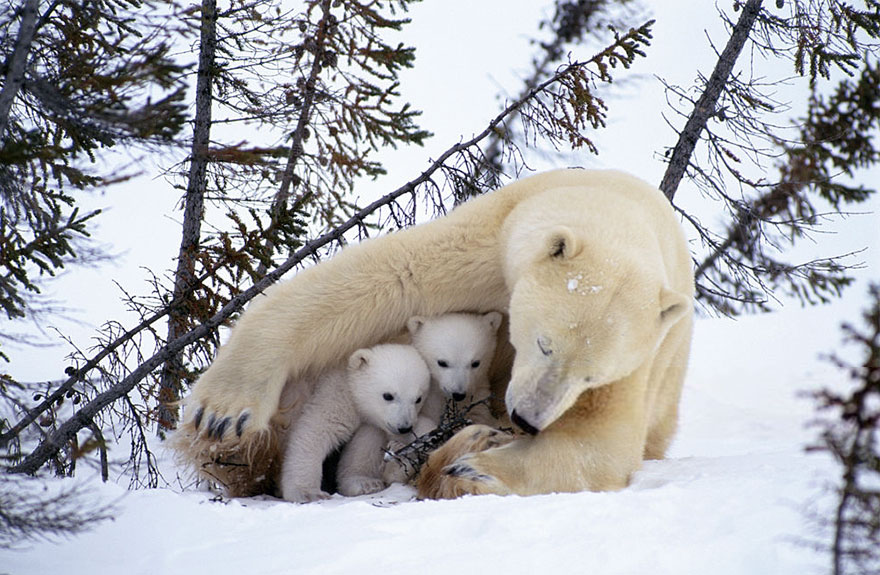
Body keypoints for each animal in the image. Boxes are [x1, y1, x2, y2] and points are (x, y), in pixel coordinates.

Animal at [280, 343, 430, 503]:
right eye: (388, 396)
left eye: (418, 399)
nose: (404, 427)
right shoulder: (334, 395)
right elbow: (315, 430)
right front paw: (307, 493)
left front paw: (367, 482)